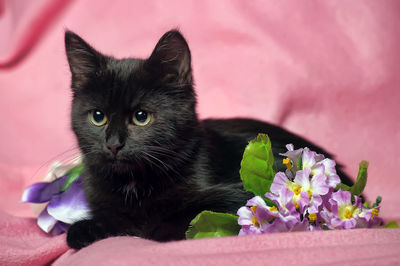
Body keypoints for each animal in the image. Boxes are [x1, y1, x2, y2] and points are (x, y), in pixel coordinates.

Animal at [64, 29, 352, 249]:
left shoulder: (239, 197)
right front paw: (85, 230)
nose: (113, 144)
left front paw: (152, 228)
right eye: (98, 116)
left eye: (141, 117)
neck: (133, 182)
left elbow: (188, 218)